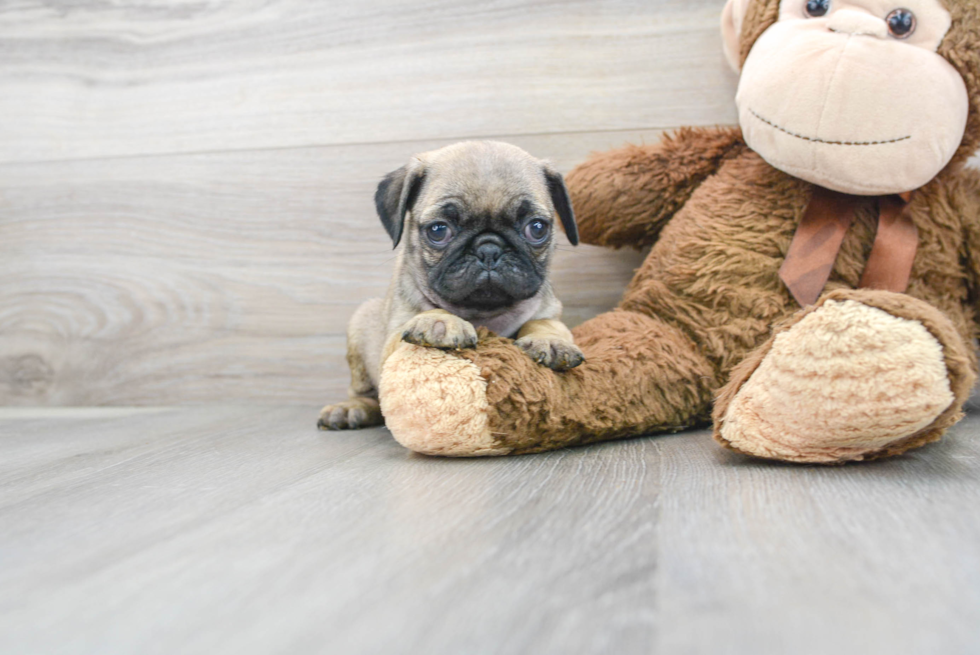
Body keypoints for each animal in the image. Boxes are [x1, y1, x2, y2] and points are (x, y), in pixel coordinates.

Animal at [320, 141, 580, 434]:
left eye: (536, 228)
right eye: (438, 230)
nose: (488, 249)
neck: (483, 313)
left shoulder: (549, 312)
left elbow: (545, 323)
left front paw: (551, 340)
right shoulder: (393, 343)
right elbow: (425, 316)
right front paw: (439, 321)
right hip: (360, 326)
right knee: (366, 394)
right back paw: (350, 409)